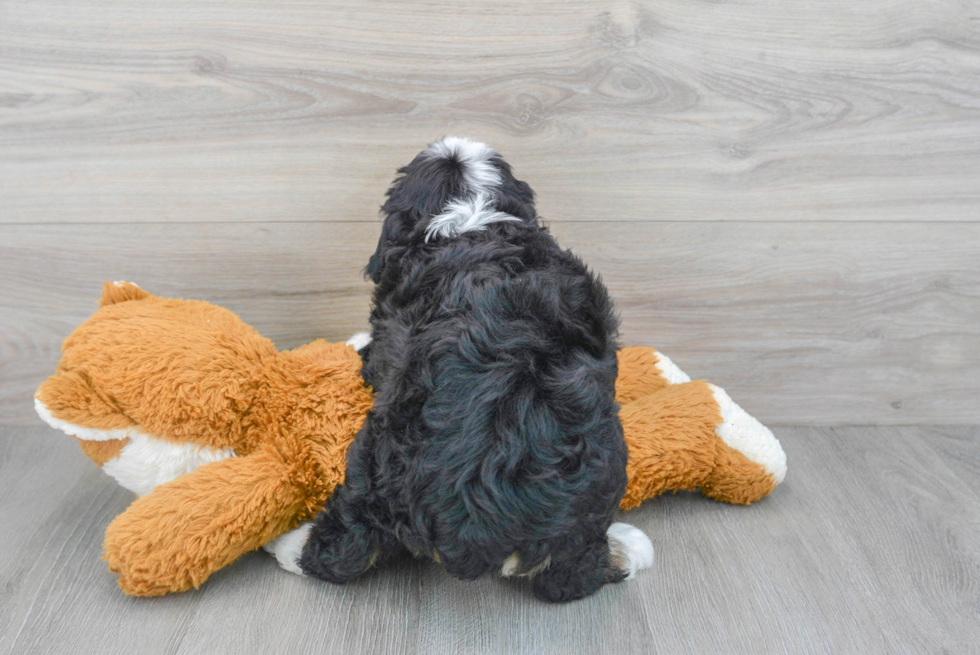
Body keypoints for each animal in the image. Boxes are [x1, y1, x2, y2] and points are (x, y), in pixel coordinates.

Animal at [270, 138, 652, 604]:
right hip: (600, 476)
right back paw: (627, 547)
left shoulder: (387, 329)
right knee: (569, 577)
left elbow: (371, 354)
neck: (473, 212)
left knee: (344, 545)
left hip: (372, 457)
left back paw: (287, 545)